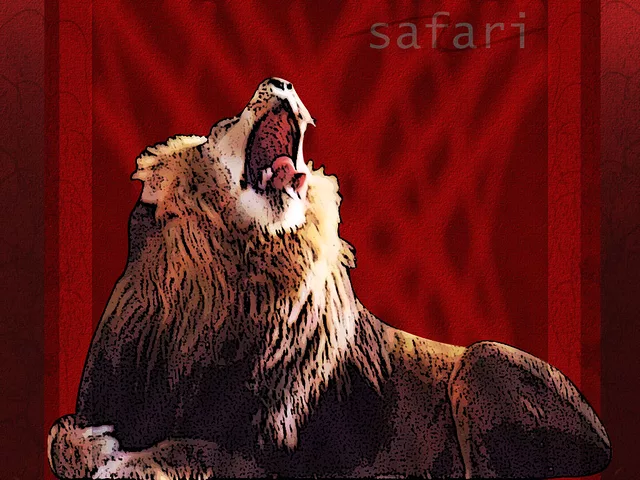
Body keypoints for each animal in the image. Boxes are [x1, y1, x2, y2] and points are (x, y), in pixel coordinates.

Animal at [48, 78, 611, 479]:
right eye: (223, 123)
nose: (282, 81)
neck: (229, 287)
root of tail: (604, 435)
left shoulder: (283, 447)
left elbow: (194, 447)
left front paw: (125, 464)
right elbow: (60, 437)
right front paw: (95, 446)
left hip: (482, 359)